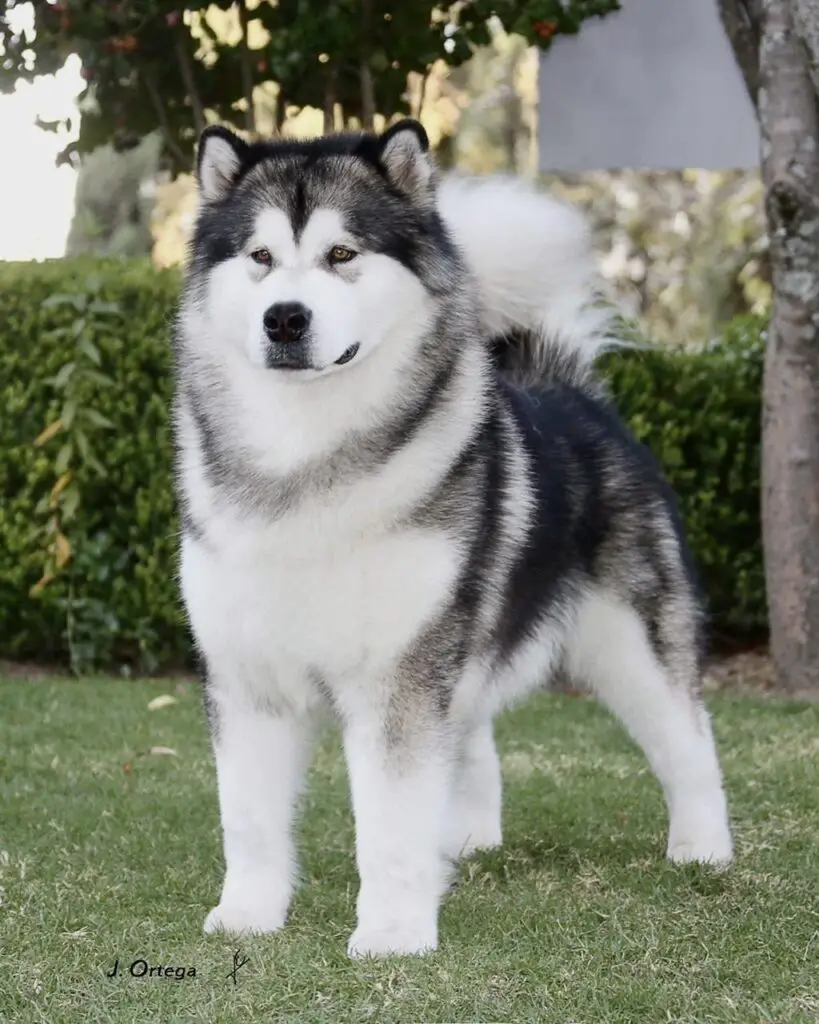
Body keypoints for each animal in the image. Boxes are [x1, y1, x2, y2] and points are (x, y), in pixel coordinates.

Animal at [170, 117, 728, 958]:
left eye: (342, 254)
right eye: (260, 257)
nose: (284, 318)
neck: (304, 455)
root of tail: (567, 388)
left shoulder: (397, 675)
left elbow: (389, 823)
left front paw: (393, 930)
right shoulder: (246, 675)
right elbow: (250, 819)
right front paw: (248, 915)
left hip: (630, 644)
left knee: (687, 740)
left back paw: (703, 848)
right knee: (471, 737)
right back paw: (465, 838)